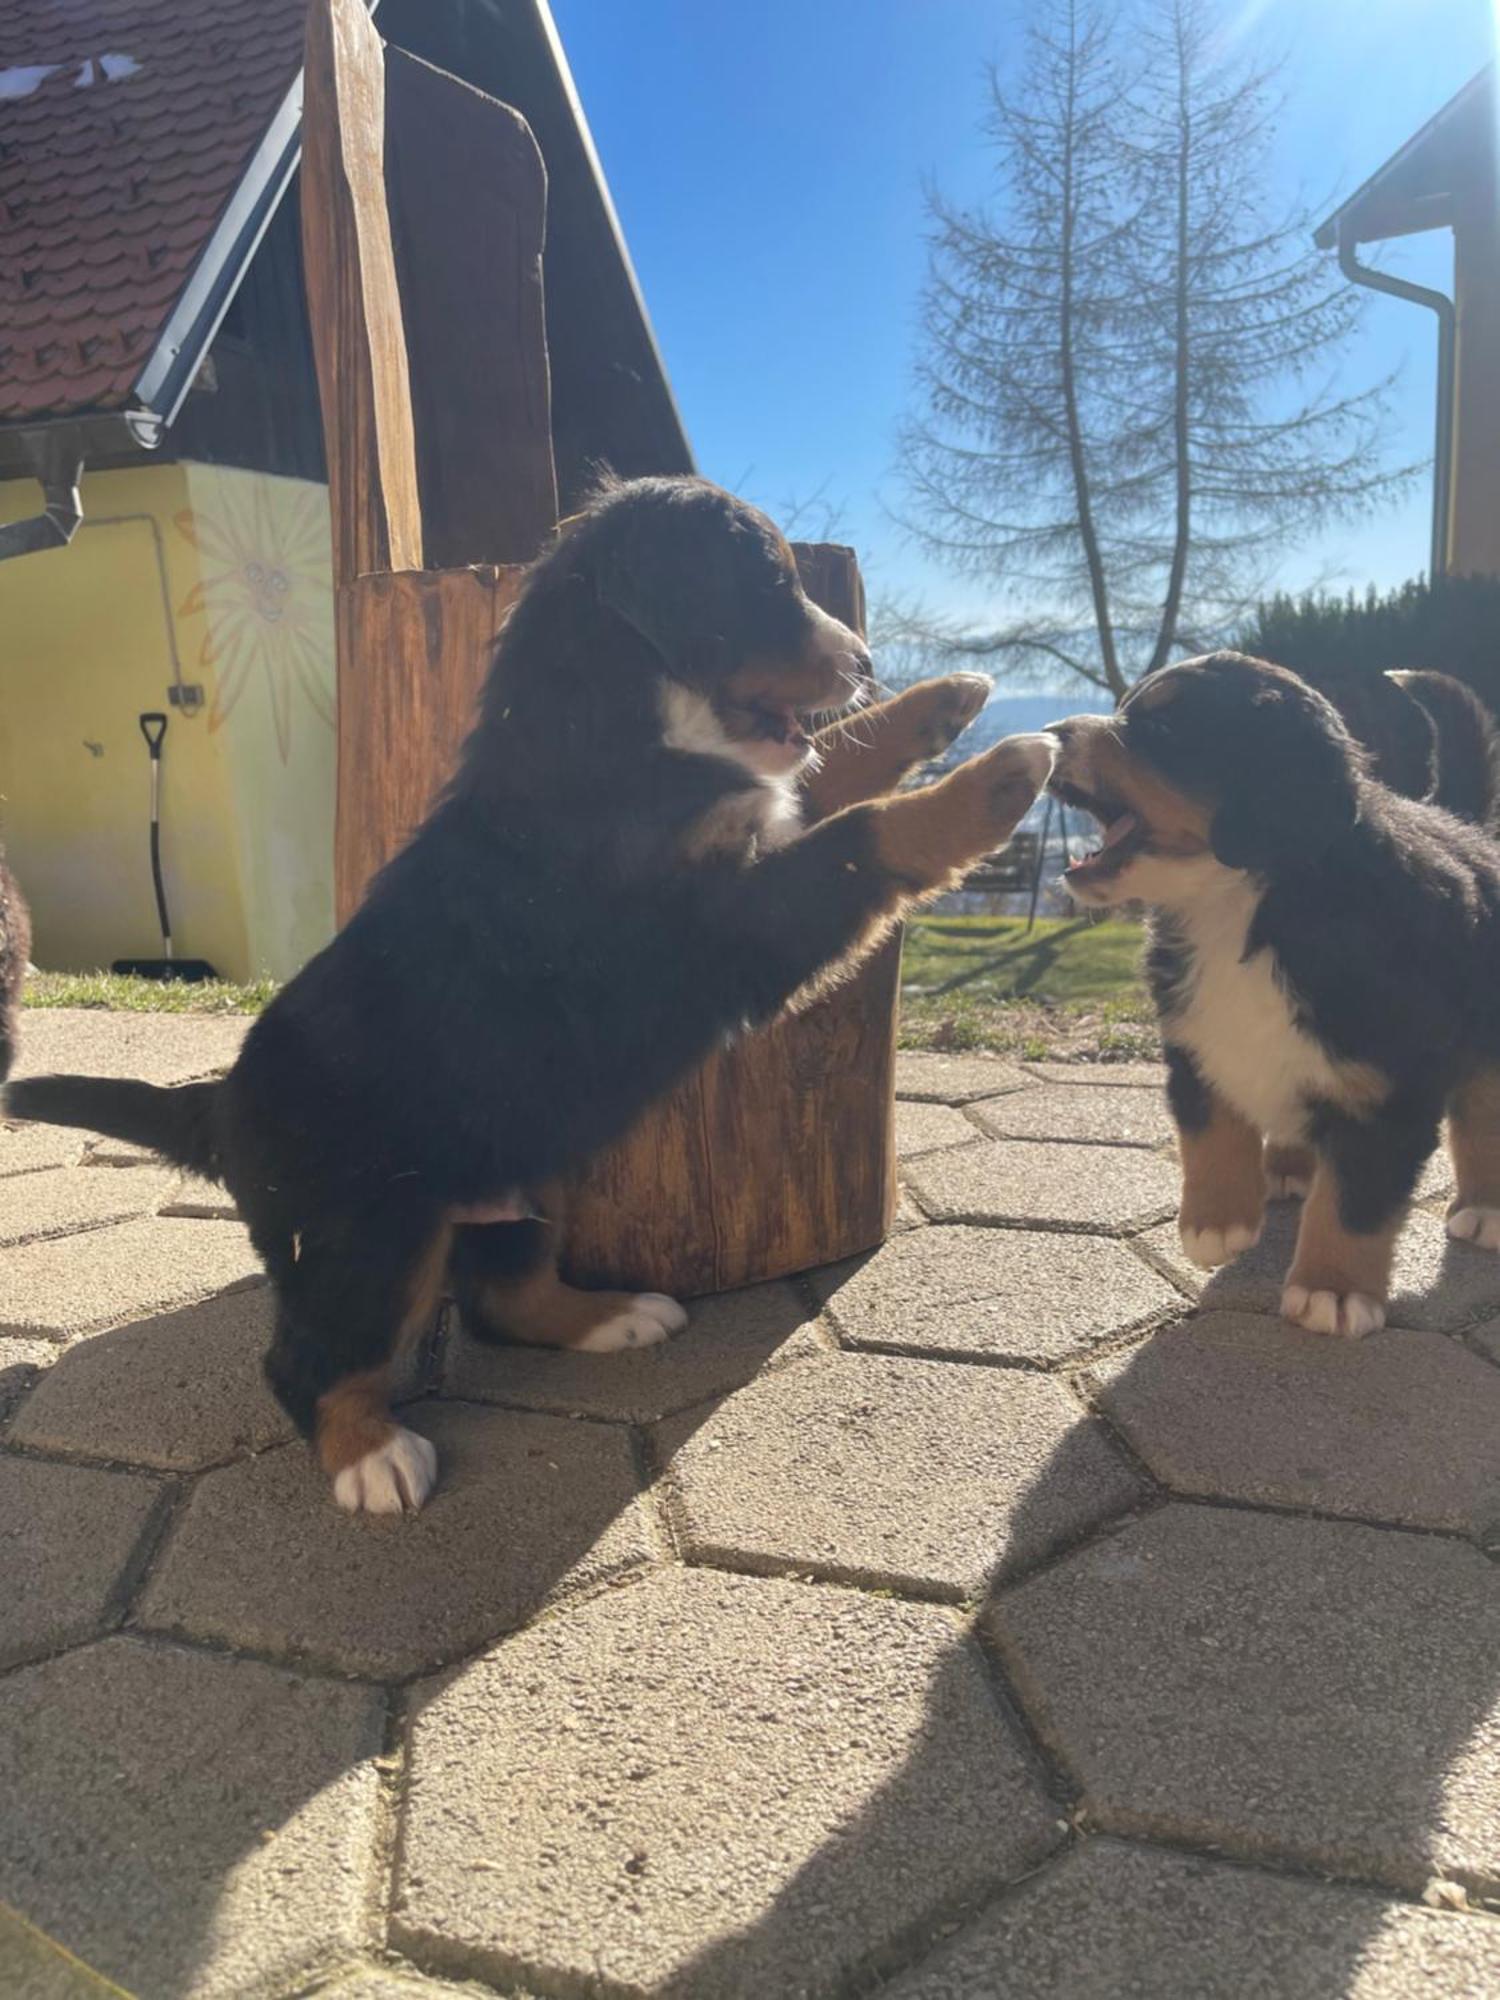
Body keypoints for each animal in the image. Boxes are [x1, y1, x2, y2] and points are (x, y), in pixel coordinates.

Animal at [1048, 656, 1500, 1344]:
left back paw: (1483, 1208)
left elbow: (1355, 1199)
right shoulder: (1195, 1039)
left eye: (1164, 727)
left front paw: (1332, 1290)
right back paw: (1288, 1165)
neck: (1241, 905)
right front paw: (1215, 1221)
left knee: (1481, 1114)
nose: (1050, 734)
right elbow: (1210, 1126)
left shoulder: (1386, 1089)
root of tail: (1462, 826)